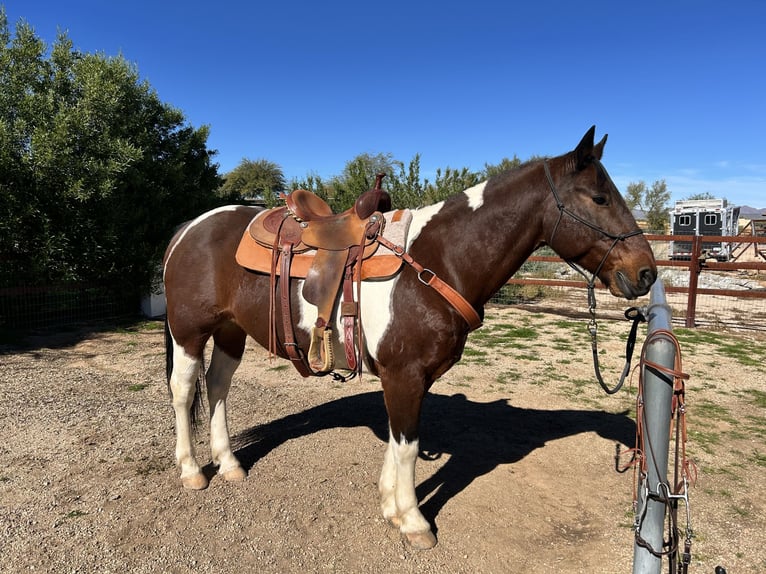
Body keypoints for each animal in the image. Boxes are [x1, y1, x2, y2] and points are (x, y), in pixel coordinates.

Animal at [162, 126, 657, 549]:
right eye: (599, 197)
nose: (646, 273)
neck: (436, 260)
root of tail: (188, 228)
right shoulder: (405, 374)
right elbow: (409, 446)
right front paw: (414, 520)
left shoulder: (410, 377)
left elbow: (398, 439)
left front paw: (390, 505)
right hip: (189, 332)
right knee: (184, 390)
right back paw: (192, 471)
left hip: (230, 331)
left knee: (218, 386)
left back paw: (229, 465)